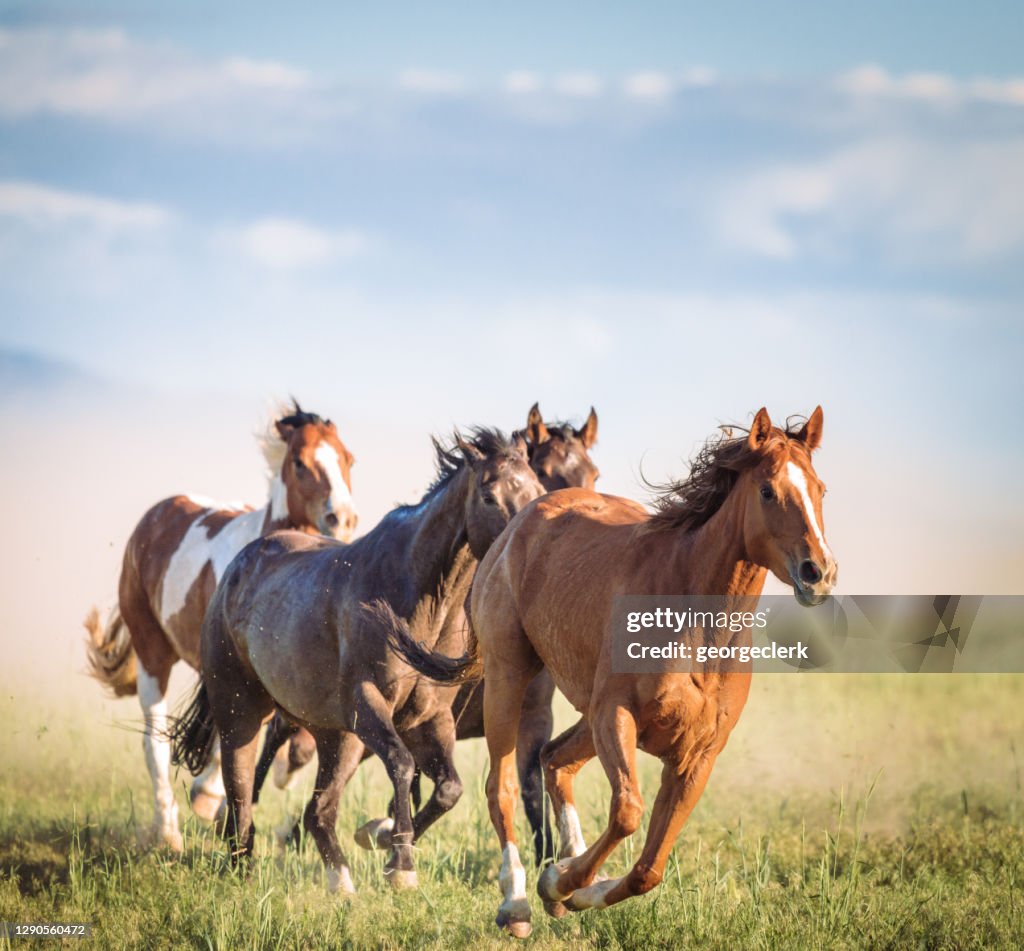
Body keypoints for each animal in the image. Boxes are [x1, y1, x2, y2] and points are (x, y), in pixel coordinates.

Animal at [83, 405, 358, 851]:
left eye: (349, 458)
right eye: (300, 462)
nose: (344, 517)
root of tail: (156, 514)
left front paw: (282, 772)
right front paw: (211, 800)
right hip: (152, 653)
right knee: (154, 741)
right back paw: (169, 832)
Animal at [172, 427, 548, 892]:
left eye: (538, 490)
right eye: (490, 495)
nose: (526, 550)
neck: (415, 600)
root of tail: (236, 568)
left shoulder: (431, 718)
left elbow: (449, 789)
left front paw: (384, 841)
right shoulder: (366, 704)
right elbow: (403, 766)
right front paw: (400, 863)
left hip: (336, 737)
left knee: (318, 811)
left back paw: (341, 881)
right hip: (242, 710)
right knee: (241, 786)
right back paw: (241, 866)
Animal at [387, 407, 835, 933]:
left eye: (820, 489)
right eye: (767, 490)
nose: (819, 572)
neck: (694, 623)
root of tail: (517, 526)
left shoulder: (697, 755)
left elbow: (648, 869)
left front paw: (571, 886)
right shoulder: (615, 716)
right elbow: (627, 812)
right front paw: (557, 881)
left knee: (554, 759)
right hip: (509, 677)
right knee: (504, 785)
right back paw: (516, 902)